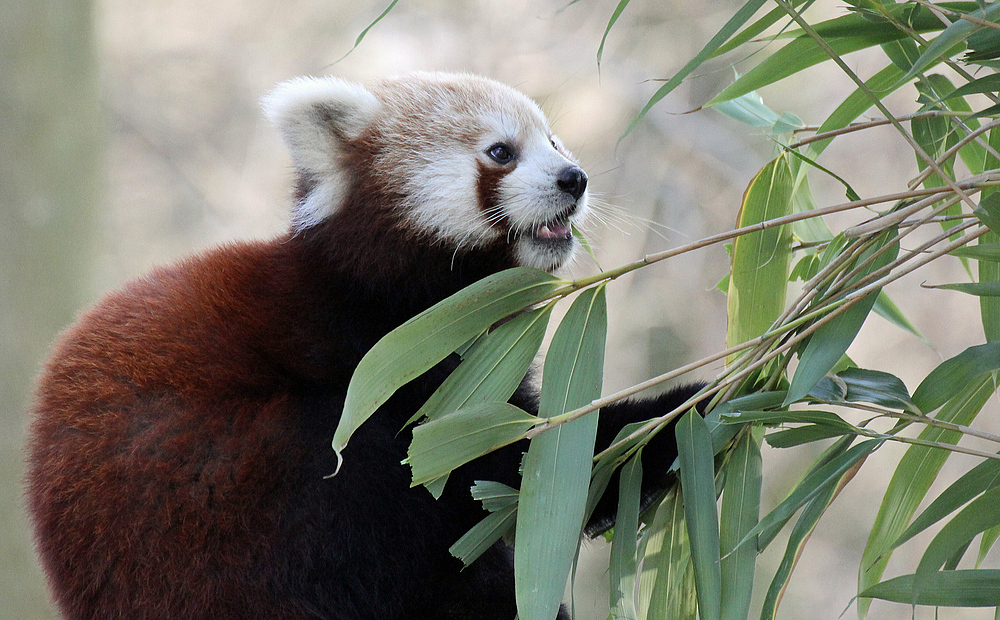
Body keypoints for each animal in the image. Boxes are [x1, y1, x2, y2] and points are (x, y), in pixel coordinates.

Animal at [21, 74, 696, 620]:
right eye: (501, 151)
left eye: (554, 142)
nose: (573, 179)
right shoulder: (379, 359)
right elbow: (518, 462)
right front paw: (685, 408)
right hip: (236, 498)